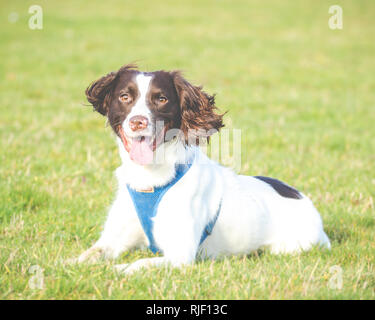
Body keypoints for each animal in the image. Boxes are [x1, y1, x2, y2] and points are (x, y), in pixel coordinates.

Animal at [76, 63, 332, 274]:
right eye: (124, 96)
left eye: (161, 99)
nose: (138, 122)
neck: (150, 179)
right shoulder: (112, 240)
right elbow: (86, 256)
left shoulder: (180, 255)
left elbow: (138, 264)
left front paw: (114, 269)